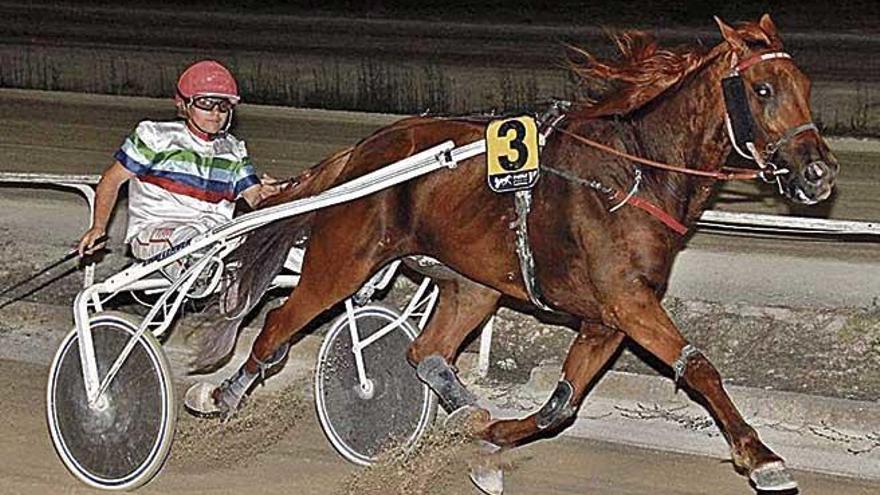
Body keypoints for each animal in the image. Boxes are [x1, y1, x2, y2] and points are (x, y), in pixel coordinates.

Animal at [189, 15, 836, 495]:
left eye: (806, 87)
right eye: (763, 89)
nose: (819, 172)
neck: (635, 173)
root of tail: (363, 151)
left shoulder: (606, 320)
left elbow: (561, 407)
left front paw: (491, 442)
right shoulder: (628, 303)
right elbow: (698, 367)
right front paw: (762, 457)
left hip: (473, 283)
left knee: (425, 351)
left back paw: (465, 412)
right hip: (344, 260)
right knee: (278, 324)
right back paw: (220, 394)